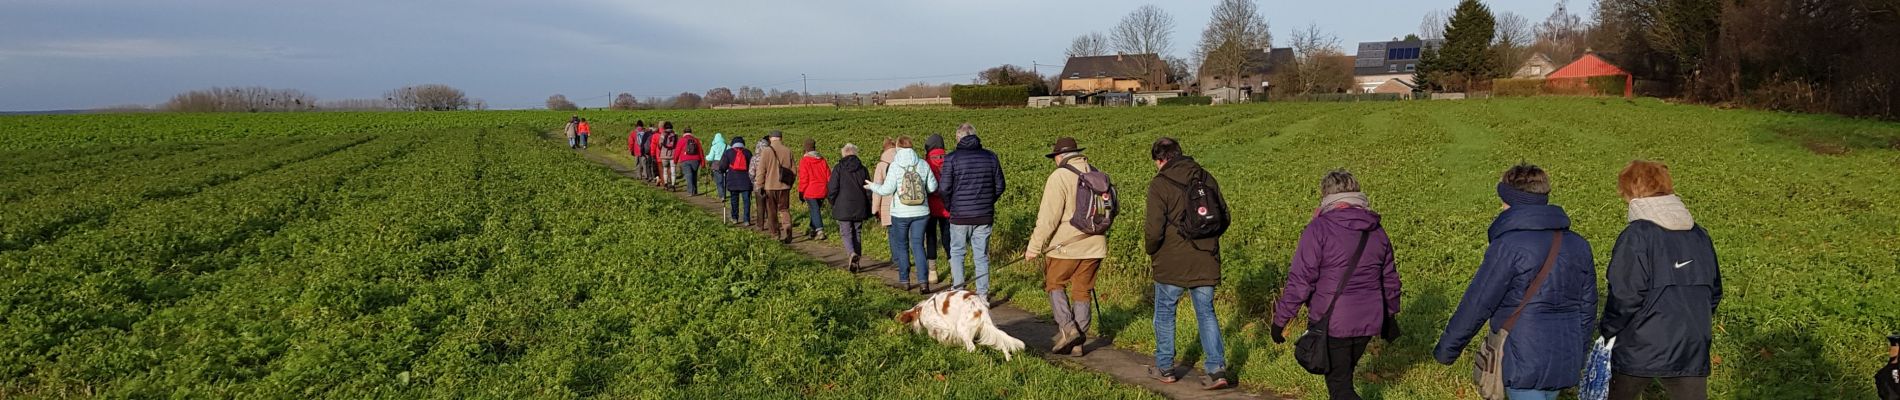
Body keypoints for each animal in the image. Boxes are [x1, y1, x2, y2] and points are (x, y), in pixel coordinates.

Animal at [893, 288, 1026, 360]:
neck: (921, 310)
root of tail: (980, 308)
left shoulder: (944, 326)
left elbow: (938, 335)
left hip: (962, 328)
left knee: (972, 347)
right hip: (987, 327)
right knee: (1002, 342)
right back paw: (1008, 359)